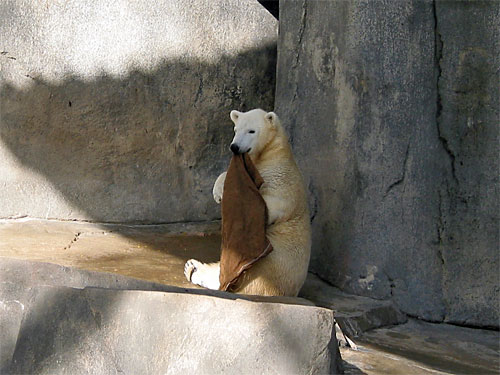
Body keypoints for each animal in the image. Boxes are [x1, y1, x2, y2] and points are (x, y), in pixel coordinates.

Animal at [182, 108, 310, 296]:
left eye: (251, 131)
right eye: (236, 130)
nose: (234, 147)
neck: (271, 153)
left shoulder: (281, 179)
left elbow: (267, 205)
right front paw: (218, 192)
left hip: (271, 261)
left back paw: (196, 269)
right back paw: (192, 267)